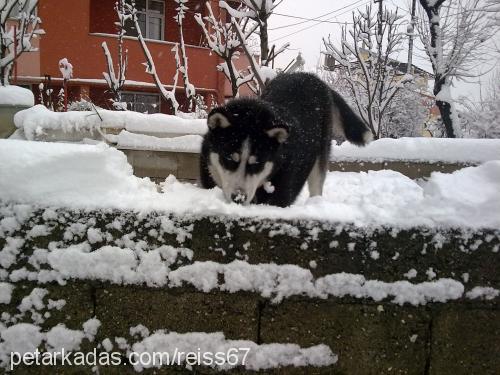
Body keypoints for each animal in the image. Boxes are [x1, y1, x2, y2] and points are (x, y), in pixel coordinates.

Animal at [199, 72, 372, 209]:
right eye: (228, 158)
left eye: (257, 163)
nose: (238, 198)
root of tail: (312, 77)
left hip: (320, 155)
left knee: (317, 184)